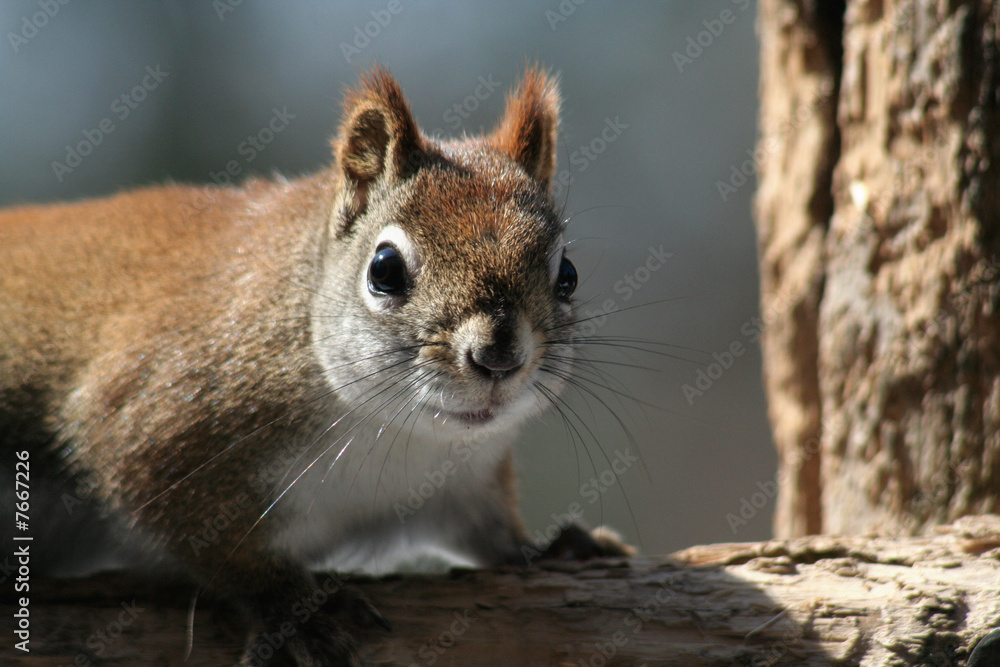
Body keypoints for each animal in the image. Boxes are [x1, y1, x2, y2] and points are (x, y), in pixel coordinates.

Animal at [0, 66, 633, 665]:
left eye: (568, 275)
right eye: (384, 269)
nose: (499, 357)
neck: (401, 435)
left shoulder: (463, 482)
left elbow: (489, 530)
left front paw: (551, 548)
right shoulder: (162, 428)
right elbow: (215, 545)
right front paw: (292, 608)